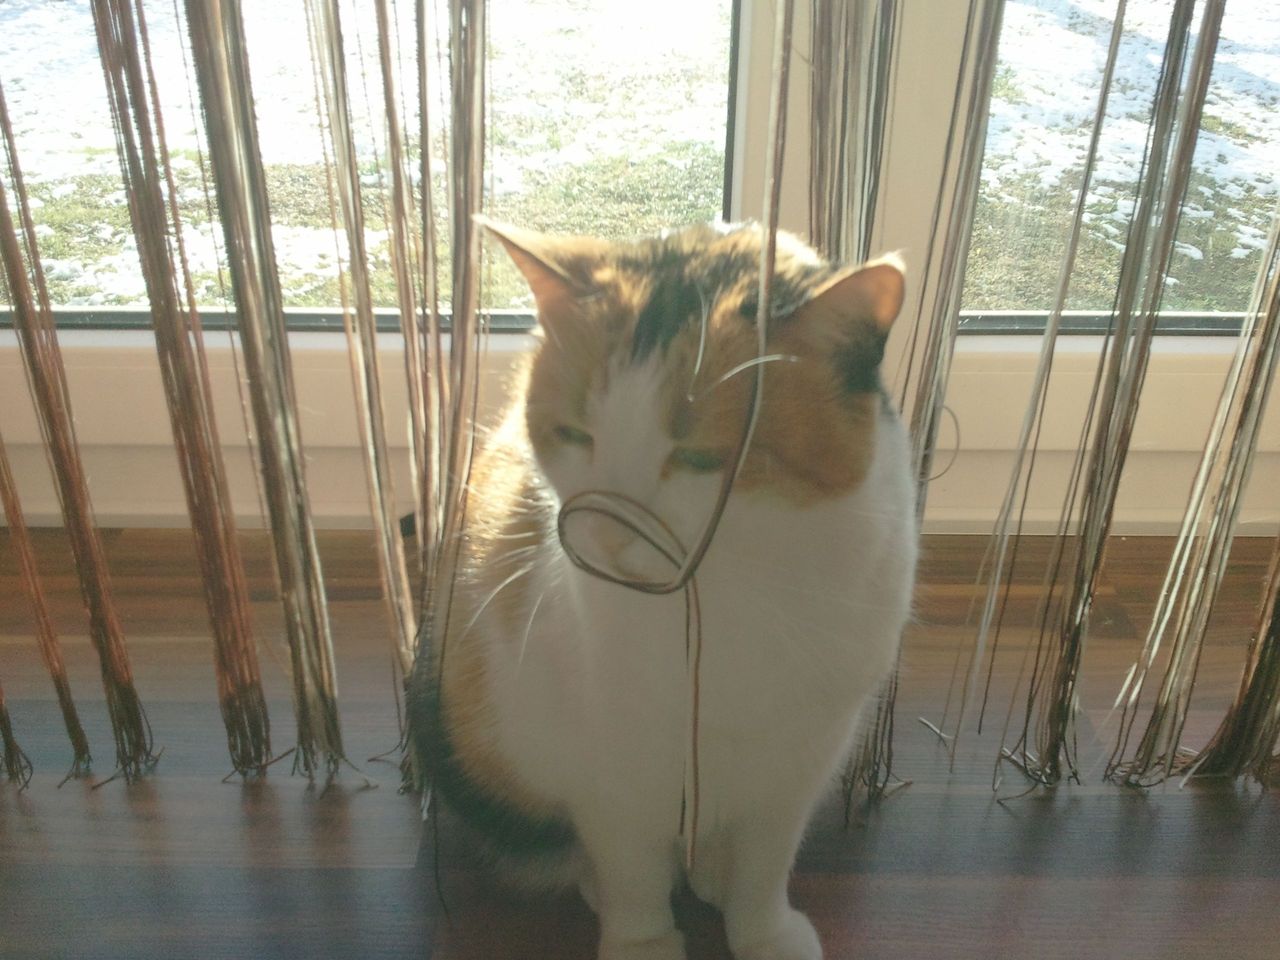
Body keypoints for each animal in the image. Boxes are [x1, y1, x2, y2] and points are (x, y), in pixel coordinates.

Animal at [407, 219, 917, 960]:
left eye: (702, 457)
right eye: (574, 434)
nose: (602, 533)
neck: (727, 605)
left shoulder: (800, 762)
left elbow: (767, 864)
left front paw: (764, 932)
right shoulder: (609, 771)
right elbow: (632, 871)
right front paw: (644, 942)